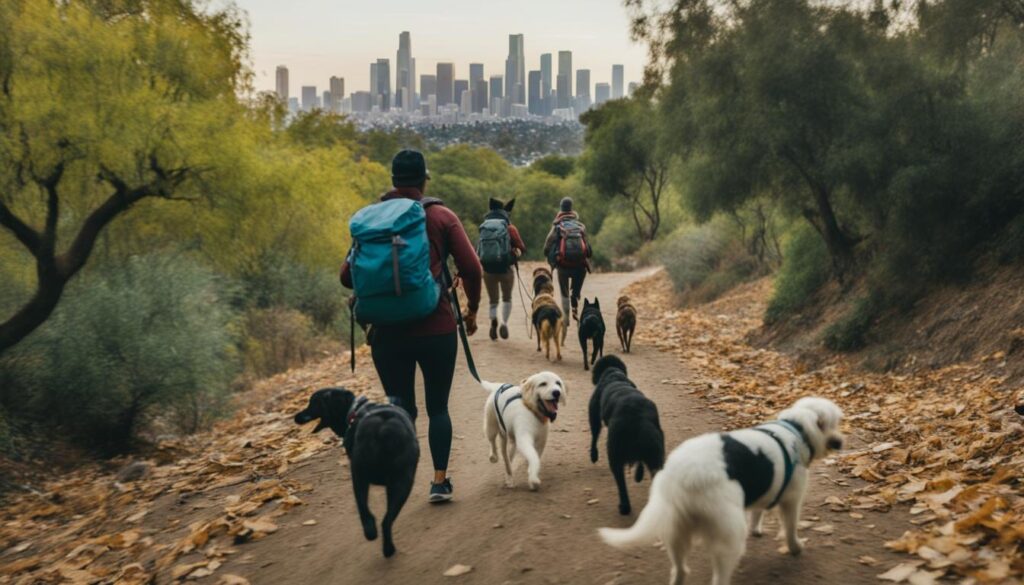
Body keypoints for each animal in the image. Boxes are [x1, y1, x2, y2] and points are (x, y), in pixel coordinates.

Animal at [294, 389, 421, 557]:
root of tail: (384, 427)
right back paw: (384, 545)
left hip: (365, 477)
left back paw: (376, 538)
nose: (296, 416)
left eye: (313, 403)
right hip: (394, 481)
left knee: (369, 513)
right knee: (383, 519)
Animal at [589, 354, 667, 514]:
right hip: (656, 455)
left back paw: (624, 507)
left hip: (614, 454)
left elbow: (594, 437)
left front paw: (593, 455)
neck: (614, 375)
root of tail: (637, 420)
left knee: (621, 484)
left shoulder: (594, 415)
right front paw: (638, 475)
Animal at [598, 397, 839, 585]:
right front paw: (796, 548)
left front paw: (758, 529)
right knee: (719, 577)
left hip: (676, 531)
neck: (795, 429)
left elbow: (758, 511)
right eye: (835, 424)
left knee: (680, 569)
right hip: (728, 536)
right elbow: (790, 529)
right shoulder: (792, 500)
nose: (840, 442)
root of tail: (679, 477)